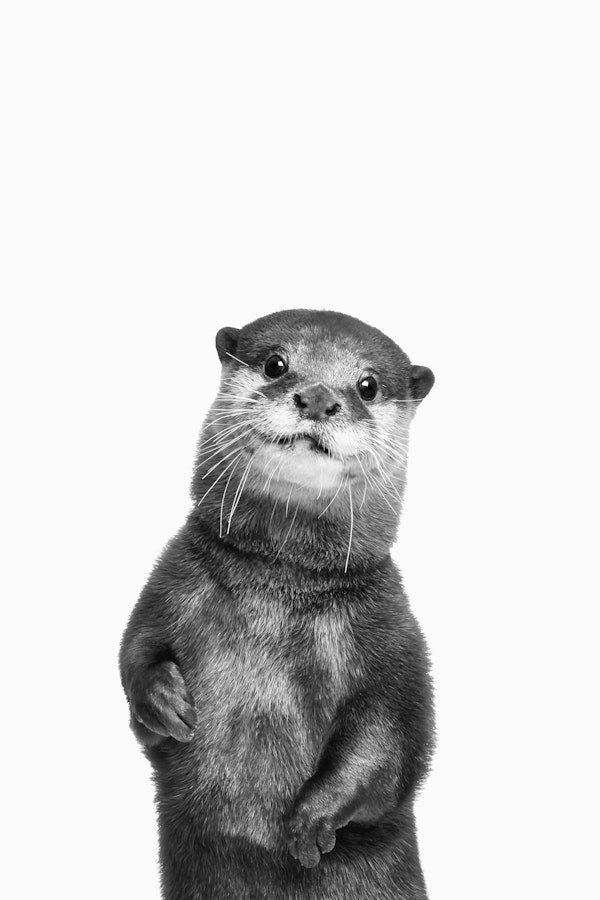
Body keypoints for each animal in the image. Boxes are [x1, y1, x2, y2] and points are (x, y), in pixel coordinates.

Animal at [119, 309, 435, 900]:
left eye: (367, 385)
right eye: (275, 364)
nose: (317, 398)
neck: (279, 589)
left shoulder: (394, 636)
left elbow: (391, 738)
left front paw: (312, 820)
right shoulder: (169, 584)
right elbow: (134, 652)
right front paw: (163, 700)